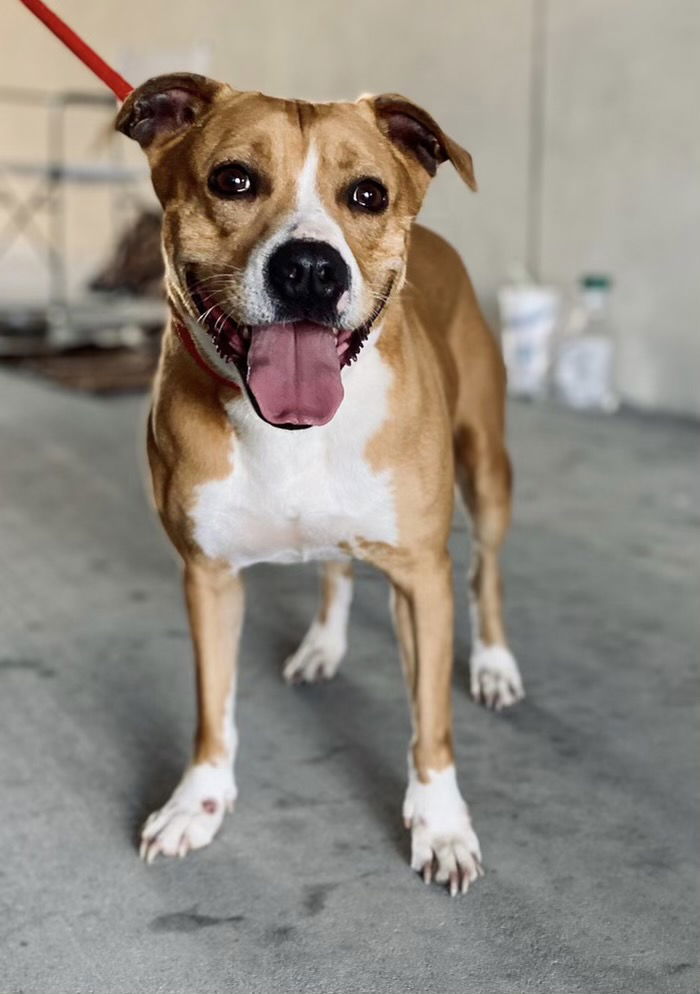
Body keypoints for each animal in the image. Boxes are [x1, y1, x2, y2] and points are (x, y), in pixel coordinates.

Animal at [115, 70, 524, 892]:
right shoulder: (207, 577)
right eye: (233, 180)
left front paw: (441, 826)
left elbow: (429, 722)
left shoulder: (421, 578)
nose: (309, 267)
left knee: (486, 571)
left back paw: (495, 664)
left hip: (489, 470)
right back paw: (322, 646)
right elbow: (213, 706)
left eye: (367, 194)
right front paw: (196, 802)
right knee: (336, 565)